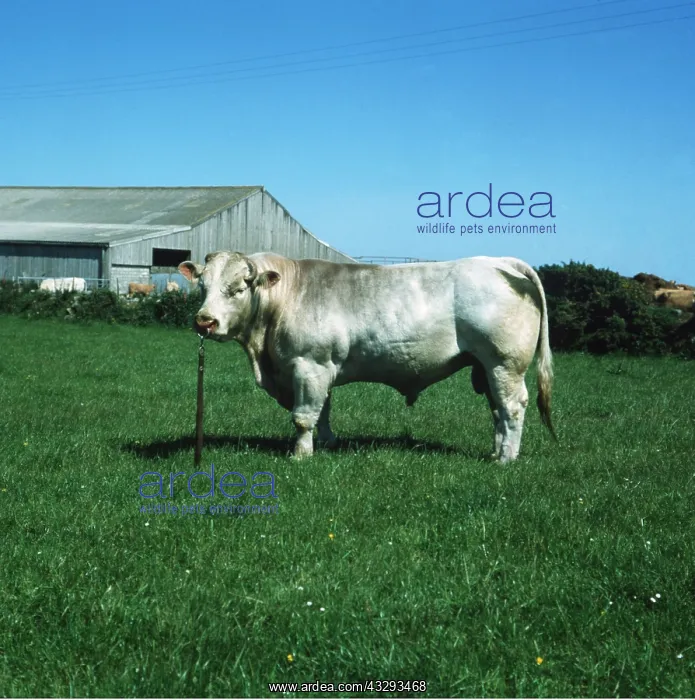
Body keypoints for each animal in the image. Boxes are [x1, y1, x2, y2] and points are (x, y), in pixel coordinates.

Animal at [178, 252, 556, 463]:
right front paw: (326, 444)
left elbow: (304, 416)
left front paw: (301, 455)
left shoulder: (309, 366)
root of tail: (499, 262)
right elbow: (323, 411)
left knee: (512, 406)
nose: (204, 321)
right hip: (486, 368)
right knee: (497, 409)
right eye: (203, 287)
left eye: (239, 288)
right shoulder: (321, 369)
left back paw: (506, 458)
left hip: (504, 363)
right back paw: (495, 450)